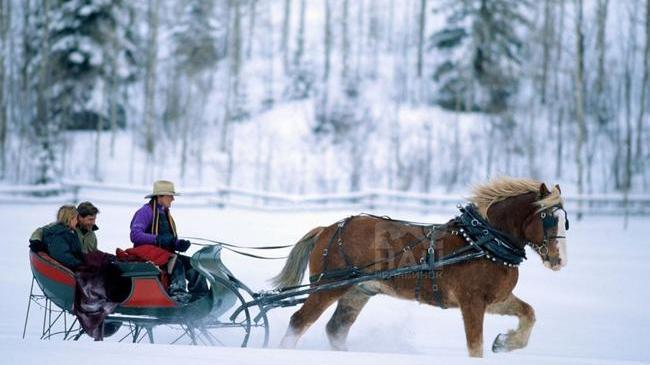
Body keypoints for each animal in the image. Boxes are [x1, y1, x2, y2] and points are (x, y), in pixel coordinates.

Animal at [270, 176, 564, 356]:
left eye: (565, 221)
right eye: (548, 218)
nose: (558, 260)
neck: (482, 240)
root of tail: (328, 229)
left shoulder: (495, 300)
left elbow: (528, 313)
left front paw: (505, 342)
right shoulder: (471, 302)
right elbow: (475, 346)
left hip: (357, 291)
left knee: (336, 330)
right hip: (328, 287)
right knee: (299, 321)